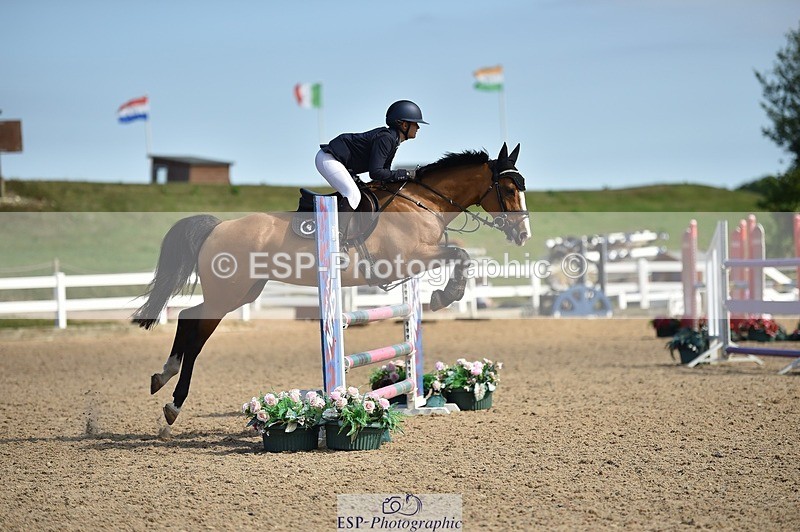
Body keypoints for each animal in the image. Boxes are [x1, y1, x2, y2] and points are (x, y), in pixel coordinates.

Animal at [134, 142, 531, 425]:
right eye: (509, 188)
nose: (524, 234)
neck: (423, 202)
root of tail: (218, 226)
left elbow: (460, 255)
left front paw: (444, 295)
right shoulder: (406, 259)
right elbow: (460, 254)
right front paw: (446, 295)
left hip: (241, 292)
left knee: (187, 316)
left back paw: (162, 376)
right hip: (227, 293)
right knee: (196, 332)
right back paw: (174, 404)